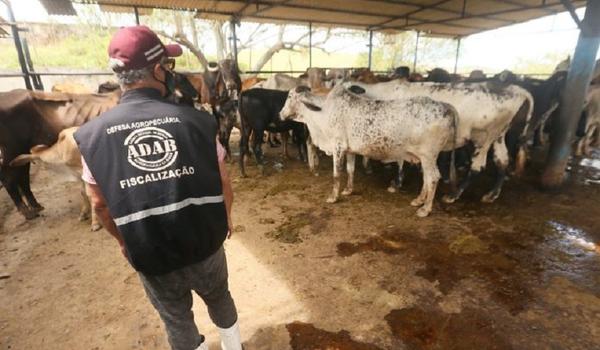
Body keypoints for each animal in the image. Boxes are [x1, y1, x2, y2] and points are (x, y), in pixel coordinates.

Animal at [278, 85, 458, 216]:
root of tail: (446, 107)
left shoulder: (338, 146)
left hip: (428, 155)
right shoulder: (349, 150)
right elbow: (350, 170)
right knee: (427, 178)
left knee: (433, 178)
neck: (322, 113)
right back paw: (418, 200)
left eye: (289, 96)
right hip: (424, 157)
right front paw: (348, 190)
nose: (280, 114)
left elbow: (337, 175)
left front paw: (333, 197)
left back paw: (425, 209)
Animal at [342, 79, 536, 204]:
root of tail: (515, 89)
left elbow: (400, 160)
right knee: (502, 161)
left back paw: (454, 195)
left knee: (477, 167)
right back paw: (492, 194)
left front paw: (396, 182)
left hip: (482, 139)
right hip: (498, 137)